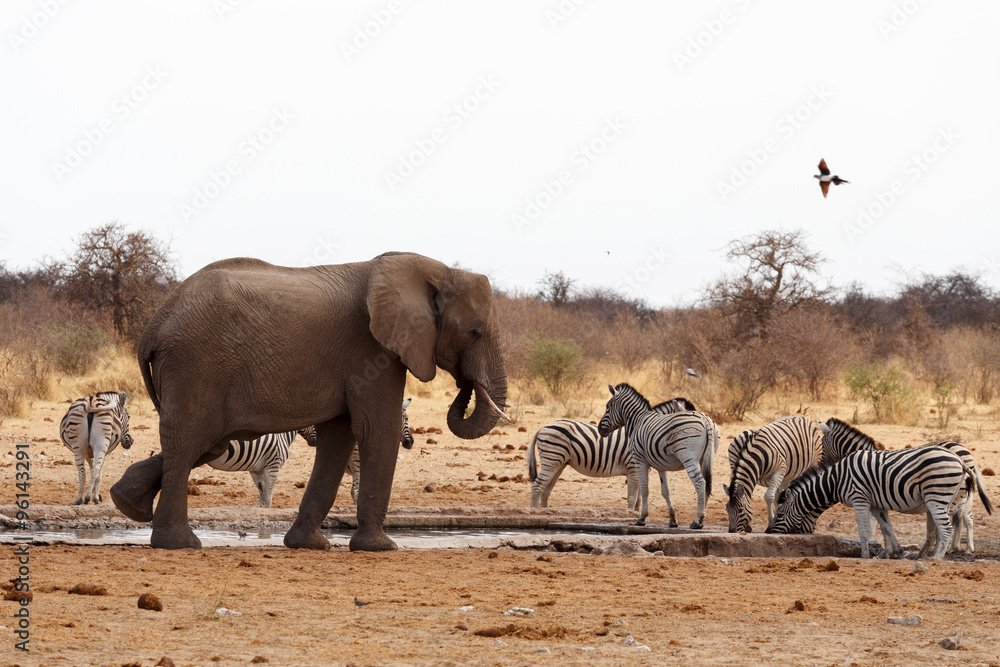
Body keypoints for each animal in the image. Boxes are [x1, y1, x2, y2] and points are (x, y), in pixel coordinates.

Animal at [110, 252, 508, 551]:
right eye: (474, 333)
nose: (465, 383)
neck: (436, 271)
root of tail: (155, 324)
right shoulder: (374, 351)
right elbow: (378, 428)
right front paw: (381, 547)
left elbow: (340, 436)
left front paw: (309, 545)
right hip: (195, 365)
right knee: (189, 441)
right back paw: (179, 543)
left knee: (204, 442)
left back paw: (126, 502)